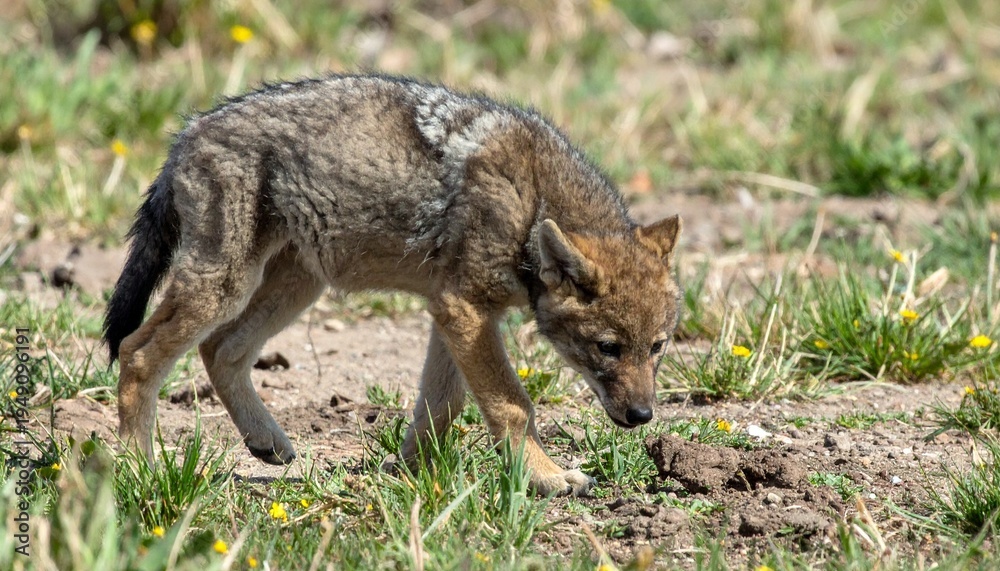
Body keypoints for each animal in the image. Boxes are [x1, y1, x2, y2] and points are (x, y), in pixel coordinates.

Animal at [103, 73, 682, 496]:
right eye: (607, 348)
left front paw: (409, 472)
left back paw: (265, 441)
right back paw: (138, 468)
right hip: (225, 288)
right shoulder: (465, 310)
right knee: (136, 352)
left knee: (221, 351)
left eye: (657, 348)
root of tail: (187, 133)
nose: (642, 416)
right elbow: (513, 404)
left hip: (294, 288)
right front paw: (546, 476)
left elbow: (442, 406)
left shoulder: (453, 313)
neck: (532, 201)